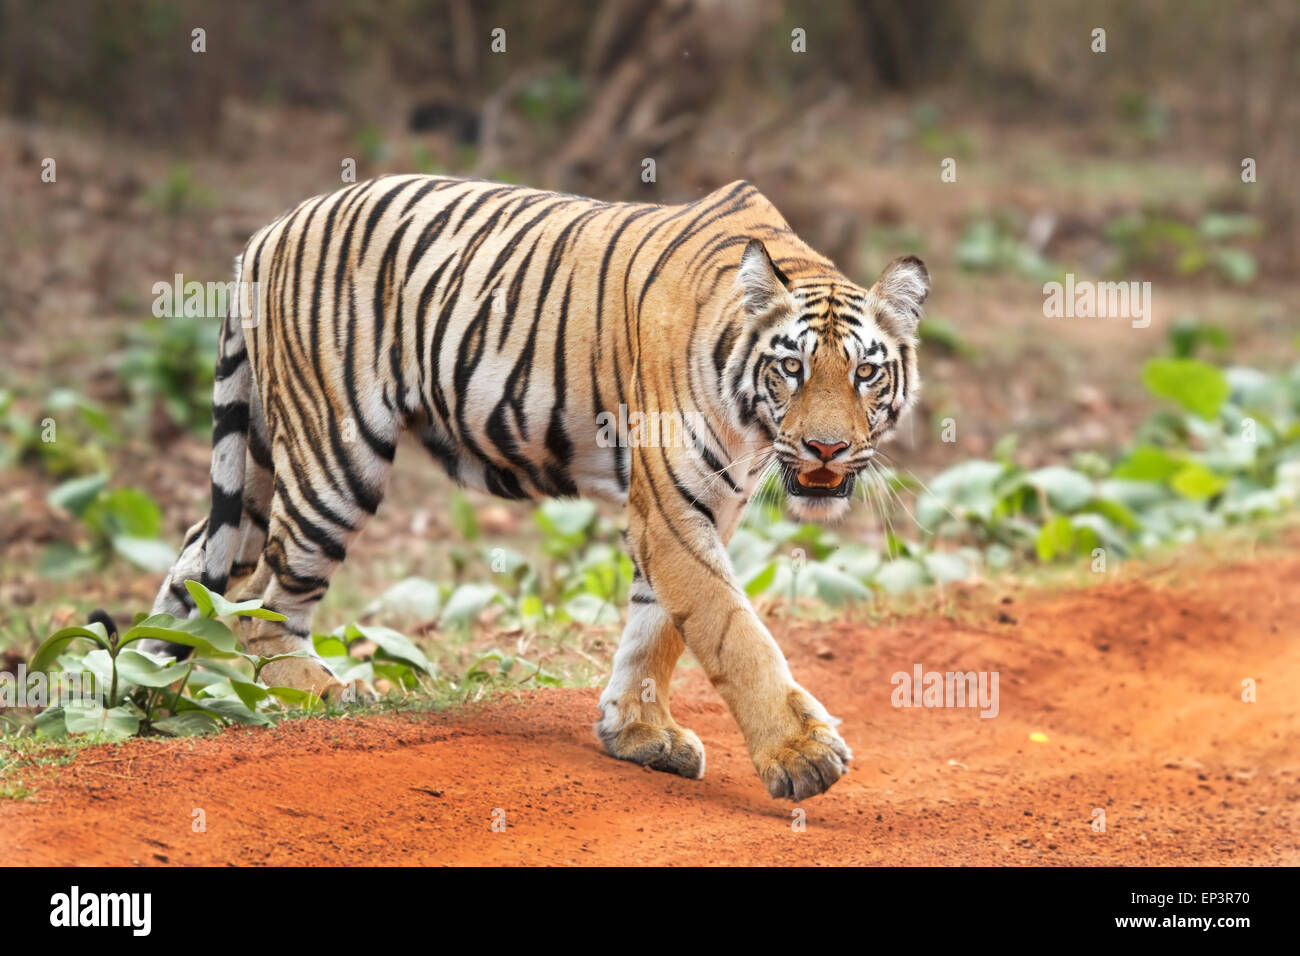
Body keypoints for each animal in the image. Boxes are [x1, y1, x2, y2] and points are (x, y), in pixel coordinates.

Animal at [137, 174, 925, 801]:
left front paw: (636, 731)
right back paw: (328, 689)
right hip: (334, 453)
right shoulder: (674, 508)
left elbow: (658, 626)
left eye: (865, 373)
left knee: (200, 563)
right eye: (792, 368)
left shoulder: (700, 509)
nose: (827, 447)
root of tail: (269, 229)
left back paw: (136, 679)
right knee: (267, 603)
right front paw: (803, 757)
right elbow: (735, 632)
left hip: (259, 460)